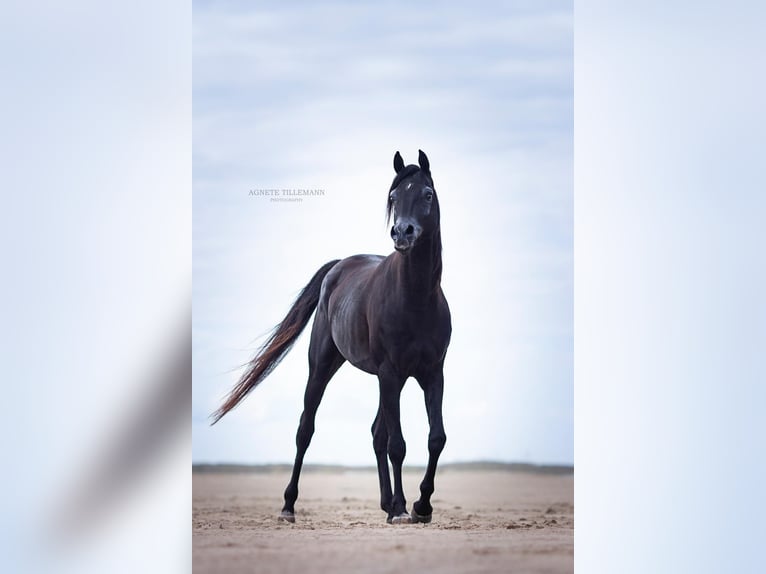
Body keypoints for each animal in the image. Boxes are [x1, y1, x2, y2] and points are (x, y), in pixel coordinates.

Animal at [211, 150, 452, 525]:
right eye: (393, 197)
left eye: (427, 194)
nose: (402, 232)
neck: (416, 298)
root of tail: (339, 266)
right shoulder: (391, 373)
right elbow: (398, 445)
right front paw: (402, 509)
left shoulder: (431, 374)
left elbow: (436, 438)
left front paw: (421, 506)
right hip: (325, 365)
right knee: (305, 430)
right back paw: (289, 506)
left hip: (386, 380)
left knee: (376, 434)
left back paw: (386, 504)